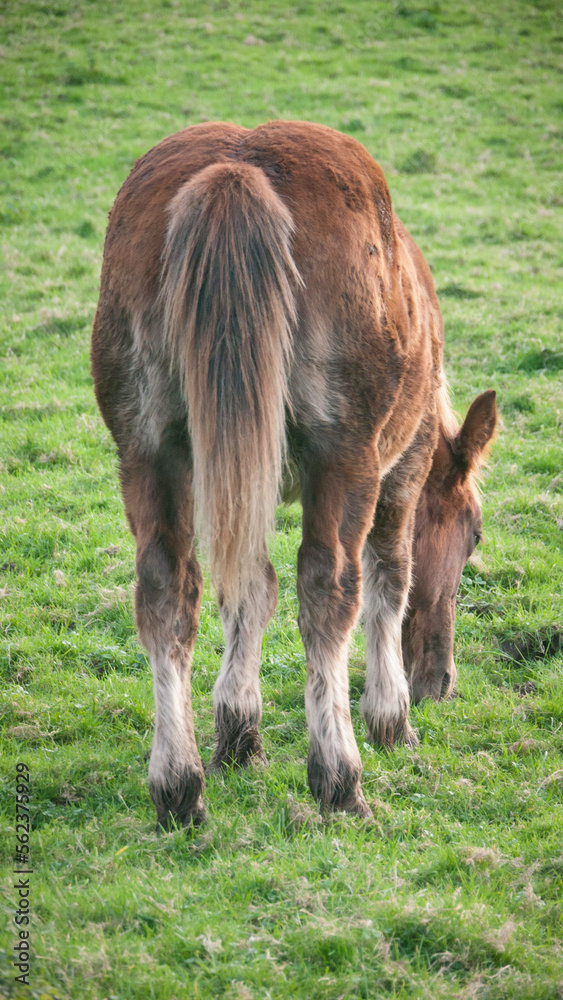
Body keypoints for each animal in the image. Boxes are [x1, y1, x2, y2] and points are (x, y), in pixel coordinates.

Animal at [91, 120, 497, 828]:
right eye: (473, 535)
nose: (437, 682)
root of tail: (237, 170)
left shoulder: (236, 478)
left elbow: (250, 590)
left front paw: (237, 732)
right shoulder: (402, 469)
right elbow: (390, 581)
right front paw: (391, 718)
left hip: (145, 449)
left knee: (165, 591)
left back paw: (178, 784)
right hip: (346, 454)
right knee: (332, 588)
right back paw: (338, 777)